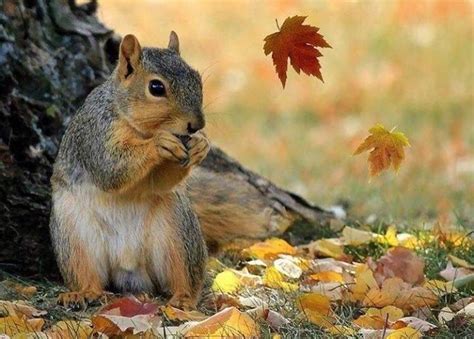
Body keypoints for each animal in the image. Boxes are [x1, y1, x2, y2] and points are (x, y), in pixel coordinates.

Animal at [49, 32, 209, 310]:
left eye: (197, 79)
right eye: (156, 88)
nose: (197, 125)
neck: (140, 129)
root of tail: (128, 265)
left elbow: (160, 182)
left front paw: (201, 145)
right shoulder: (96, 132)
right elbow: (110, 168)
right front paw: (159, 143)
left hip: (177, 229)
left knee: (183, 274)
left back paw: (183, 298)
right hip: (73, 231)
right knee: (85, 272)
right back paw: (84, 292)